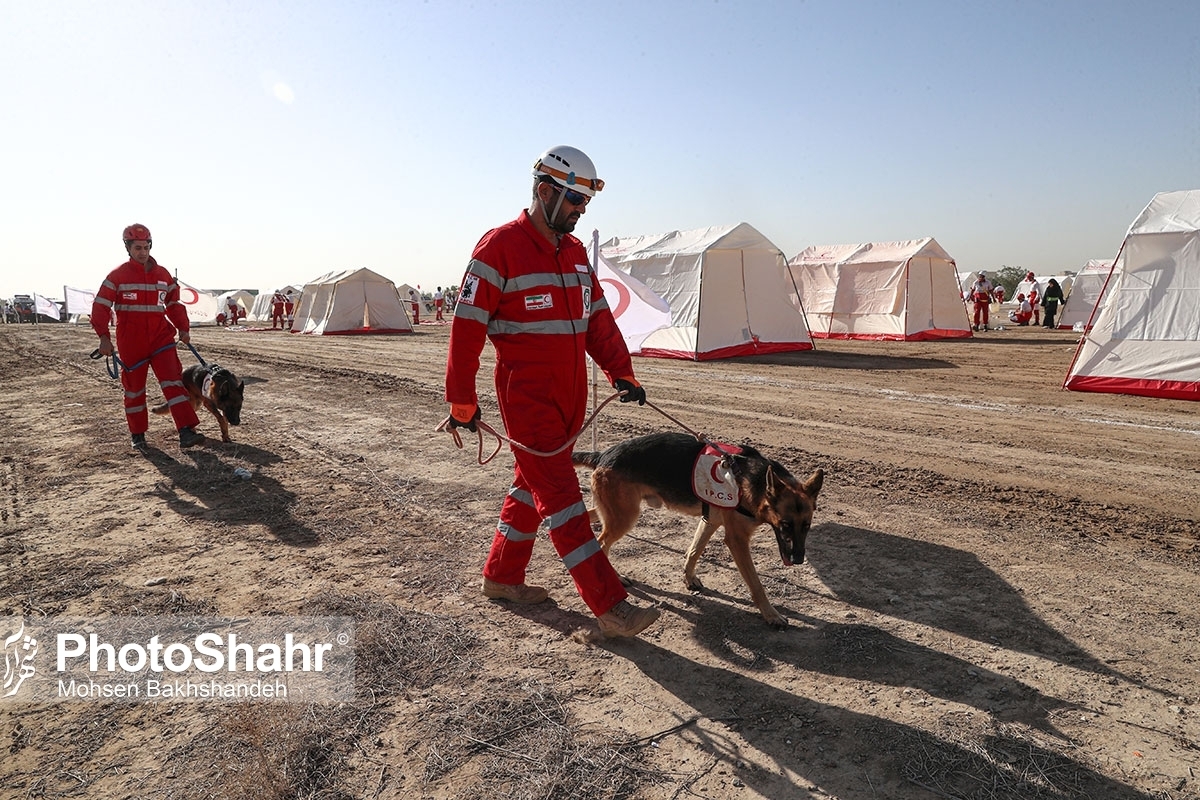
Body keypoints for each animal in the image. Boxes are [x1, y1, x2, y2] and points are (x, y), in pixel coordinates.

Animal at [573, 431, 825, 623]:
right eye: (785, 524)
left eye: (807, 526)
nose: (798, 559)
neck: (755, 481)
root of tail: (602, 454)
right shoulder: (737, 540)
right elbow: (756, 584)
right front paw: (771, 615)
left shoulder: (710, 521)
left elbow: (694, 551)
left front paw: (688, 578)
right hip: (624, 517)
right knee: (601, 543)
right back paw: (613, 578)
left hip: (616, 513)